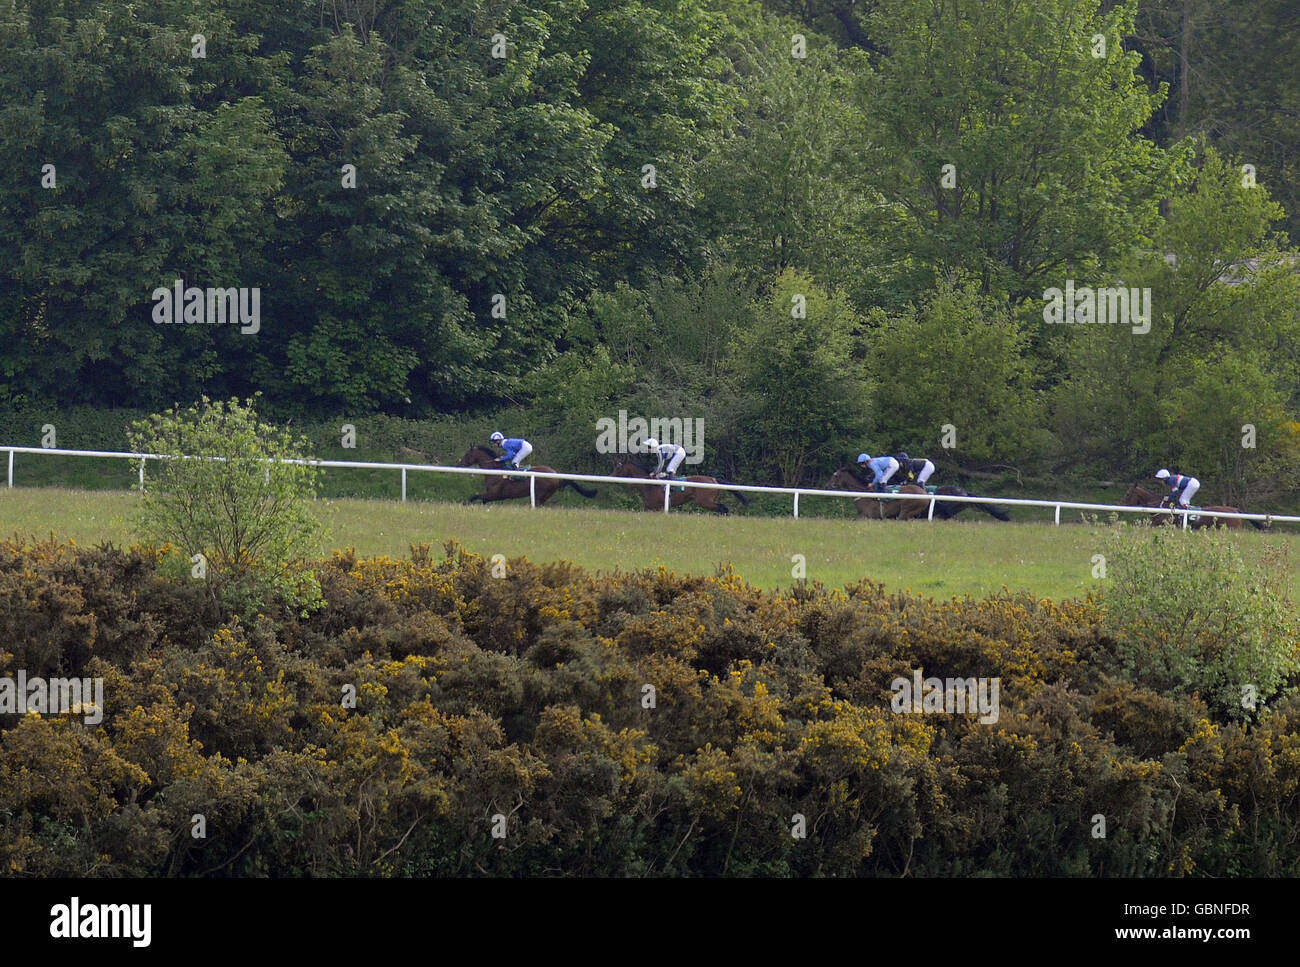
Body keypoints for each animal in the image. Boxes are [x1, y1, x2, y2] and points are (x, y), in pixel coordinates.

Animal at [457, 444, 598, 506]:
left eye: (467, 454)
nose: (459, 464)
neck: (495, 471)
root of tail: (557, 476)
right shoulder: (491, 496)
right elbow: (482, 499)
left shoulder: (495, 494)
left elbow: (475, 496)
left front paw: (464, 504)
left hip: (540, 495)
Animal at [611, 460, 754, 514]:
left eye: (618, 468)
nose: (611, 477)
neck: (650, 485)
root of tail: (713, 479)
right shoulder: (649, 507)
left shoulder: (656, 507)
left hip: (705, 501)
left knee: (723, 508)